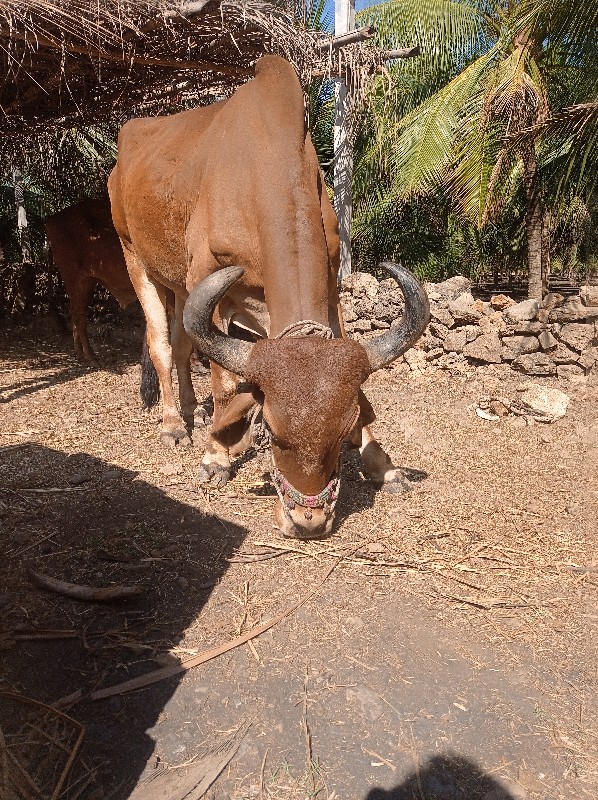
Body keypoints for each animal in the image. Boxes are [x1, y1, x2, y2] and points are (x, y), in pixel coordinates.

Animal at [44, 197, 138, 360]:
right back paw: (90, 356)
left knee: (74, 314)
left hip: (87, 282)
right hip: (74, 279)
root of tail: (51, 220)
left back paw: (79, 352)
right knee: (79, 317)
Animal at [110, 54, 428, 536]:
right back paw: (174, 423)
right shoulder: (210, 280)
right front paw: (217, 456)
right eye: (274, 433)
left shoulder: (328, 283)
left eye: (343, 432)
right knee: (163, 344)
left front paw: (383, 465)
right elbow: (225, 382)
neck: (262, 167)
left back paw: (193, 410)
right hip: (136, 260)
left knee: (183, 345)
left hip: (180, 286)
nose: (308, 521)